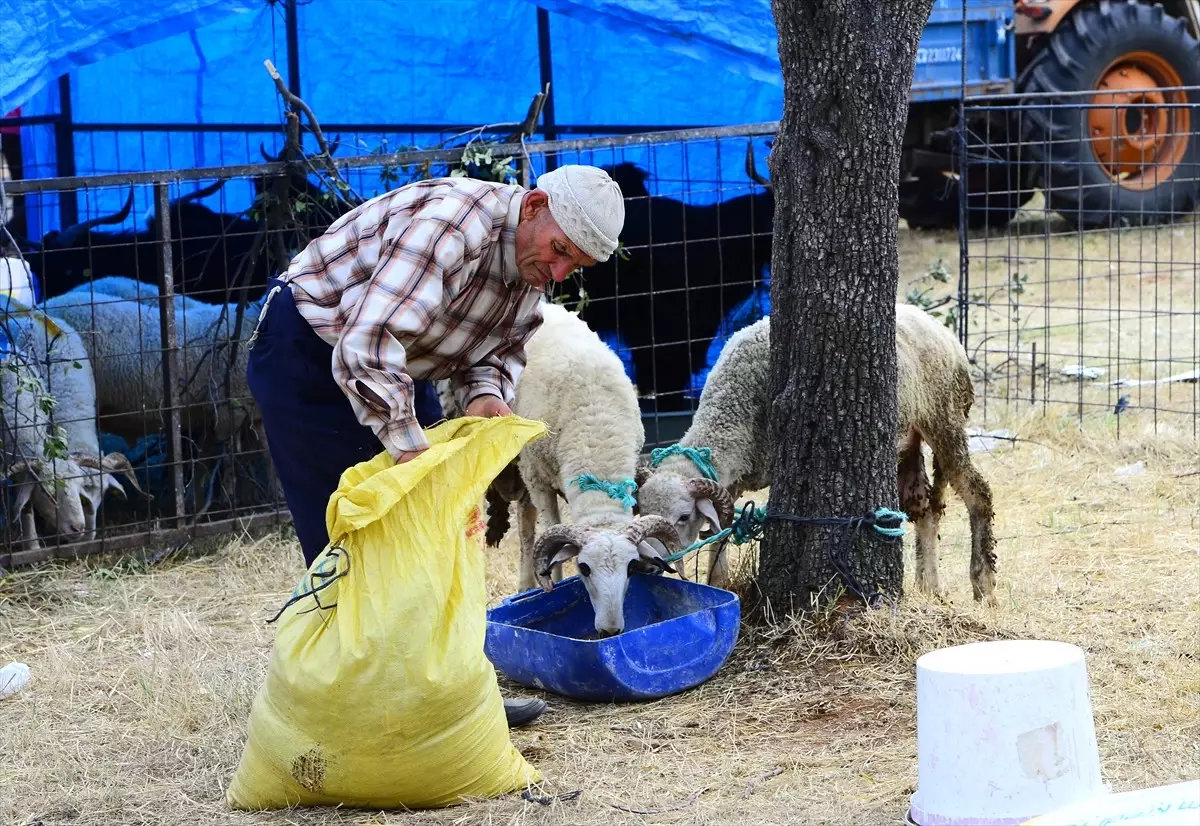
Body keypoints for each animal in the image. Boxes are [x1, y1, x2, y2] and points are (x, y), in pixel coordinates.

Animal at [439, 300, 686, 633]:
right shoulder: (539, 481)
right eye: (583, 568)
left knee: (525, 519)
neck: (597, 438)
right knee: (525, 532)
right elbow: (551, 544)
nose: (610, 630)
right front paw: (552, 586)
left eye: (631, 567)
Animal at [638, 304, 1003, 607]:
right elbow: (721, 533)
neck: (734, 406)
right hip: (906, 442)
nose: (646, 565)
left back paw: (983, 587)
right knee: (924, 509)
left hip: (945, 417)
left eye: (683, 517)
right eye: (641, 510)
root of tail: (944, 331)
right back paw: (928, 588)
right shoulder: (732, 480)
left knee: (978, 493)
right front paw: (718, 583)